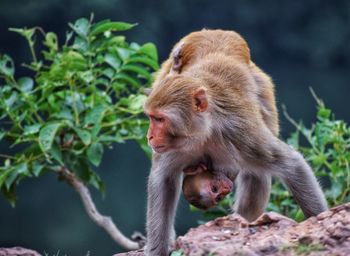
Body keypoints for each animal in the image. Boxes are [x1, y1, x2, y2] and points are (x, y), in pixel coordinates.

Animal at [143, 29, 328, 254]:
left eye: (160, 119)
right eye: (151, 117)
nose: (150, 136)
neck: (204, 132)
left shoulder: (241, 132)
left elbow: (292, 164)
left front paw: (320, 219)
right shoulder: (174, 147)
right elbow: (163, 180)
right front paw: (157, 249)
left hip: (264, 91)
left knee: (258, 174)